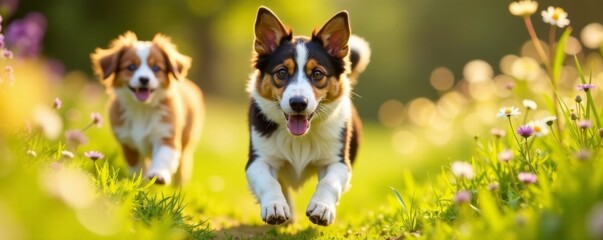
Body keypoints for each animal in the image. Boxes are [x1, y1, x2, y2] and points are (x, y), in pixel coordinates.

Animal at [91, 31, 205, 186]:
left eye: (156, 68)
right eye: (131, 67)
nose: (144, 79)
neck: (142, 109)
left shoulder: (166, 135)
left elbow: (163, 157)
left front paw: (158, 175)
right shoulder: (127, 142)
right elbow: (137, 166)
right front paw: (141, 184)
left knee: (183, 164)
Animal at [244, 6, 368, 226]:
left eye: (317, 73)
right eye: (282, 72)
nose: (298, 103)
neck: (299, 138)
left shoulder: (338, 162)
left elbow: (330, 182)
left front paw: (322, 208)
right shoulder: (258, 160)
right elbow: (269, 182)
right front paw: (275, 207)